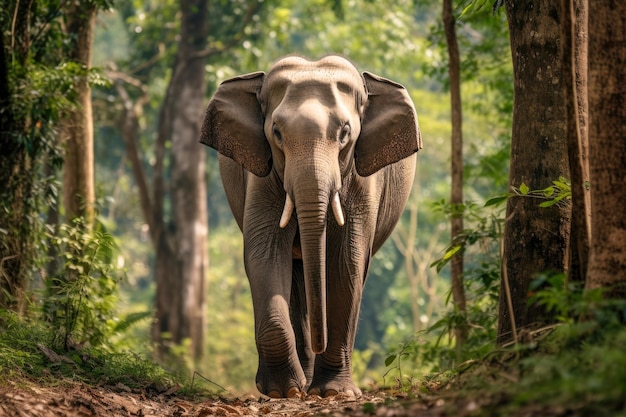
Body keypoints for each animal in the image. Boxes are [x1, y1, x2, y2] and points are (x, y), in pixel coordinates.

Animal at [200, 54, 422, 396]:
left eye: (345, 132)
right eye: (276, 132)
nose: (321, 343)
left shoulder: (363, 181)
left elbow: (346, 262)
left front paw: (332, 392)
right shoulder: (263, 176)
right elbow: (264, 254)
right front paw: (282, 391)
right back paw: (301, 383)